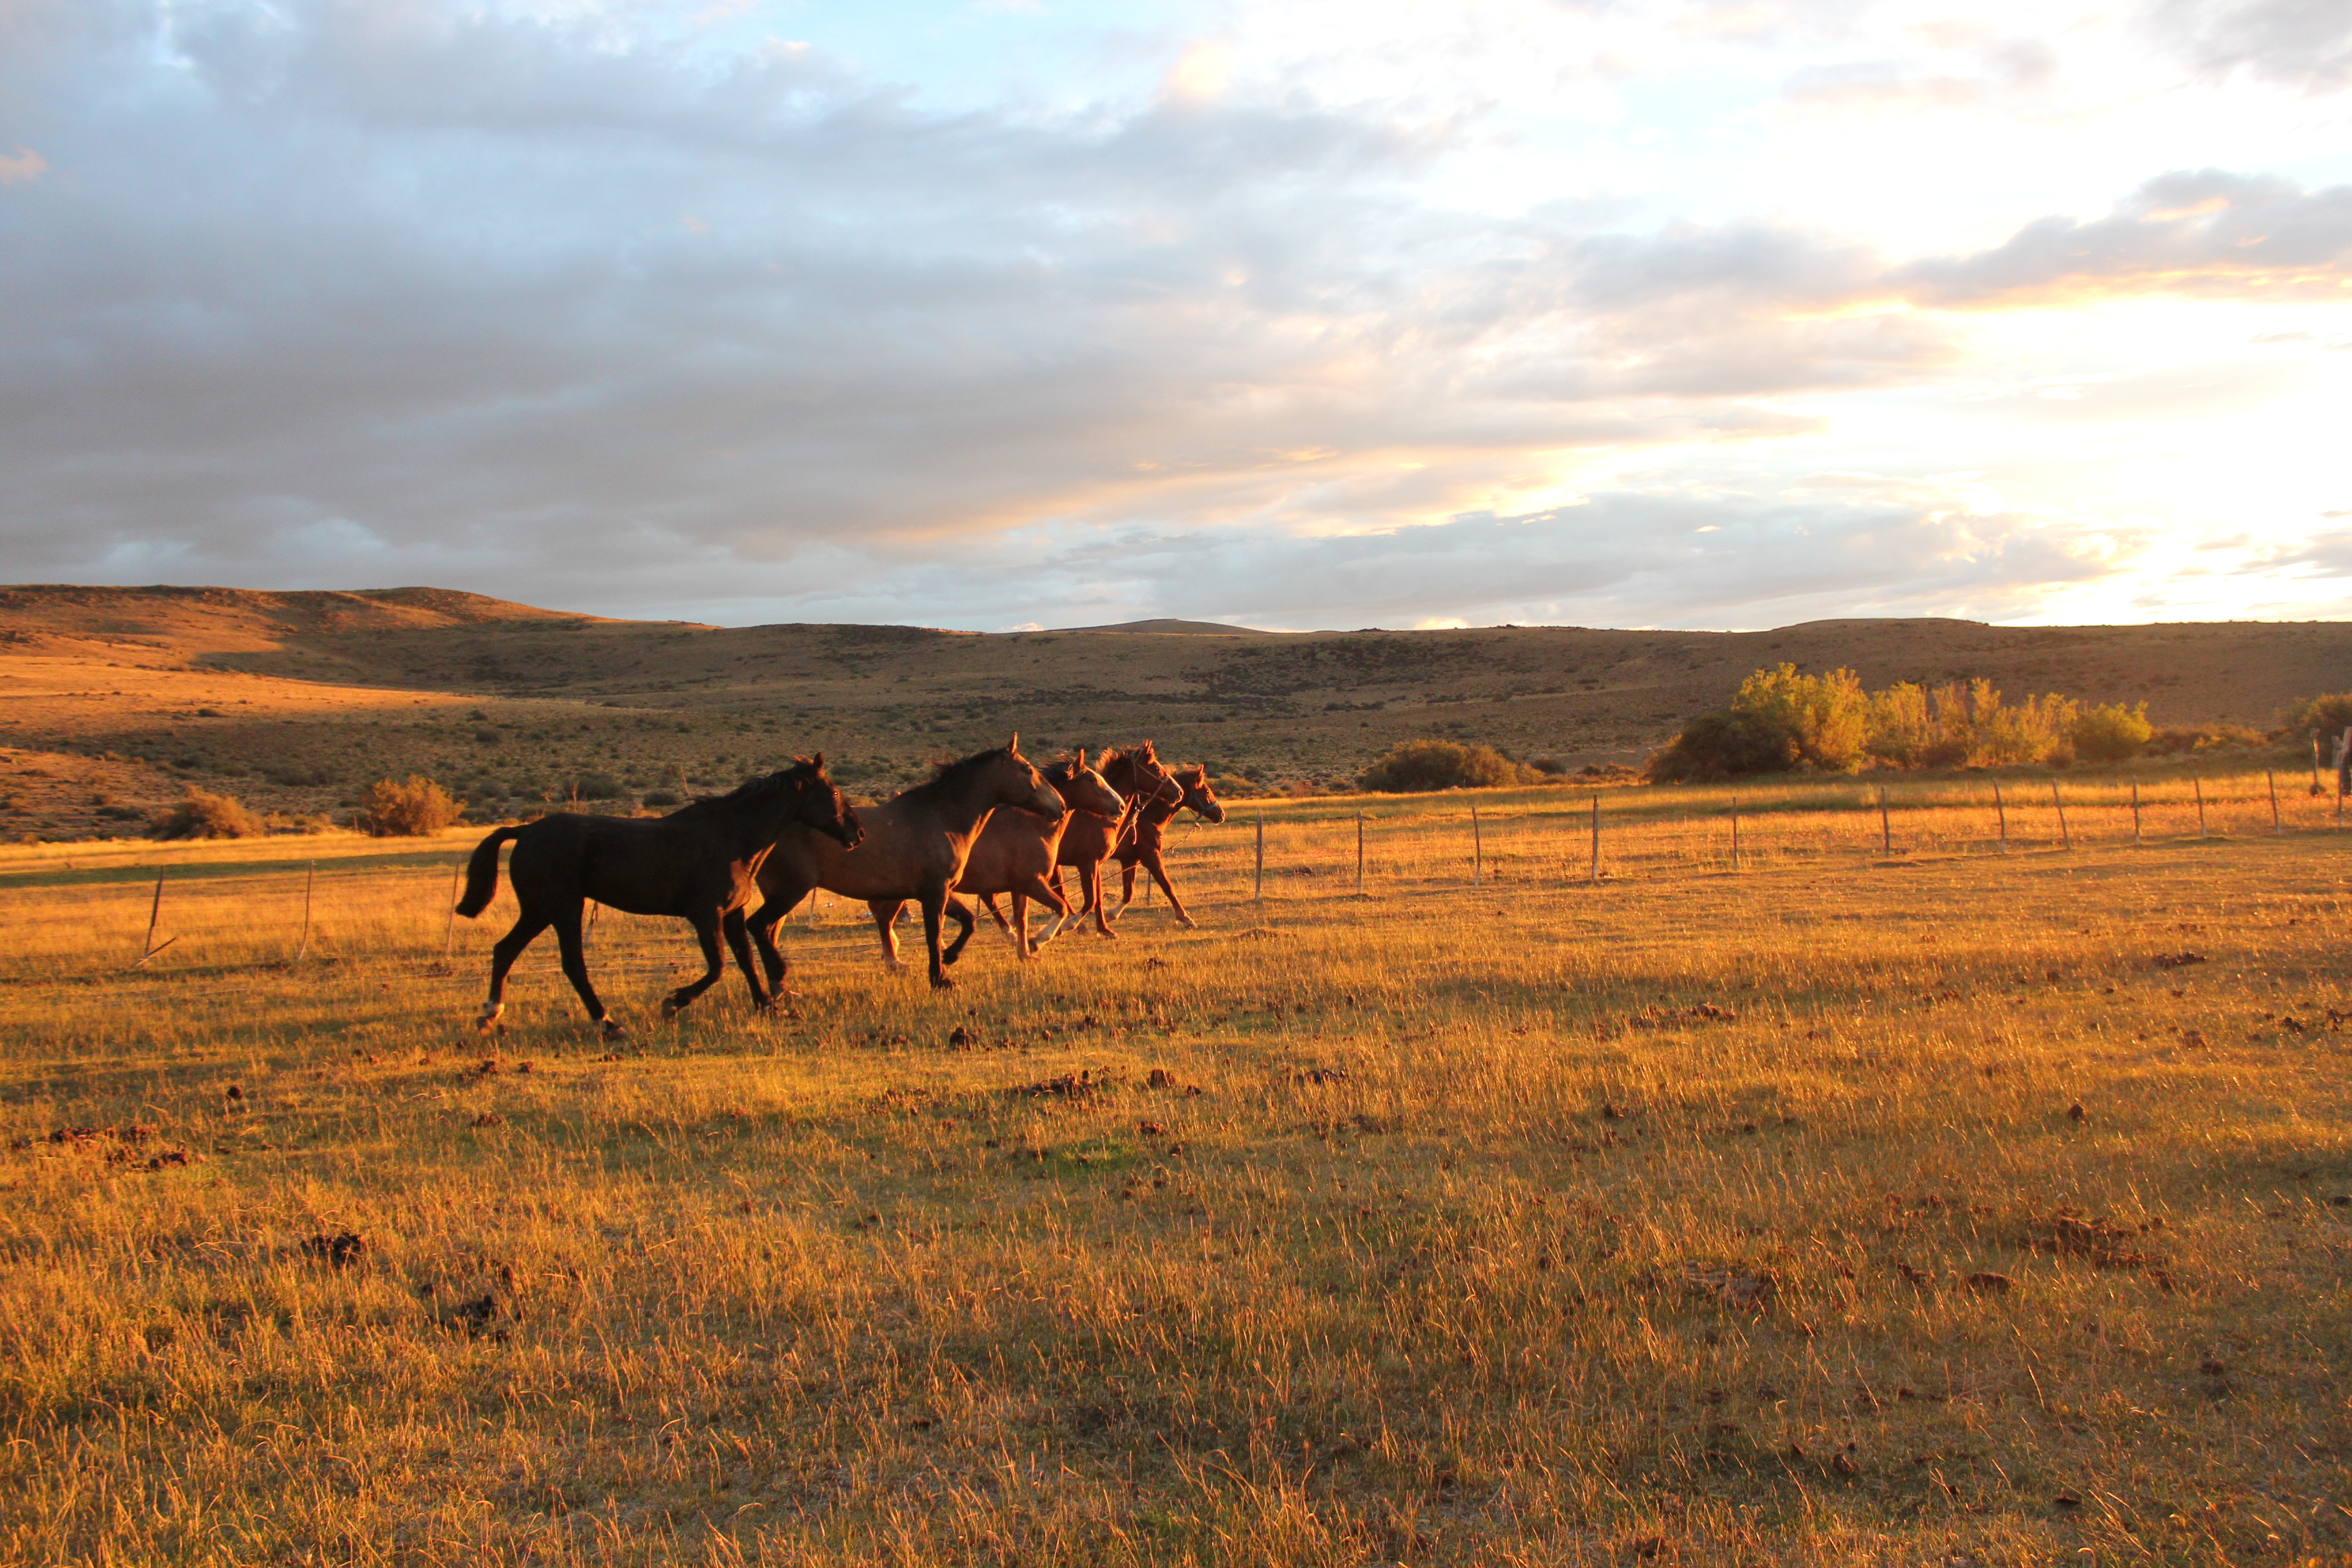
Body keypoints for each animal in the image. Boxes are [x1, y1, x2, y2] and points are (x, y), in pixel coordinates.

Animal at [454, 757, 861, 1038]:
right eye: (834, 793)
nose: (857, 833)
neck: (732, 838)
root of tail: (524, 831)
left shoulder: (732, 914)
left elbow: (745, 961)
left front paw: (767, 1007)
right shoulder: (706, 915)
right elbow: (718, 967)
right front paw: (674, 1003)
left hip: (538, 910)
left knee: (504, 950)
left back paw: (490, 1014)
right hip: (565, 909)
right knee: (573, 965)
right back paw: (608, 1024)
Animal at [749, 737, 1063, 991]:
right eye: (1027, 769)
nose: (1059, 806)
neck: (942, 818)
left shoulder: (939, 891)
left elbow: (967, 922)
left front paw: (950, 958)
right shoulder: (934, 892)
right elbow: (934, 934)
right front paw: (939, 978)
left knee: (769, 934)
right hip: (789, 892)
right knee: (759, 928)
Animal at [937, 751, 1126, 957]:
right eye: (1092, 779)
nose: (1121, 806)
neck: (1031, 825)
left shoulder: (1021, 887)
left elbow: (1023, 918)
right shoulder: (1036, 881)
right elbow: (1070, 905)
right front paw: (1041, 938)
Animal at [1109, 762, 1227, 927]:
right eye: (1207, 791)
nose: (1221, 815)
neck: (1143, 820)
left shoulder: (1129, 860)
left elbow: (1128, 892)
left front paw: (1110, 914)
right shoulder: (1151, 857)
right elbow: (1167, 886)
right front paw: (1186, 918)